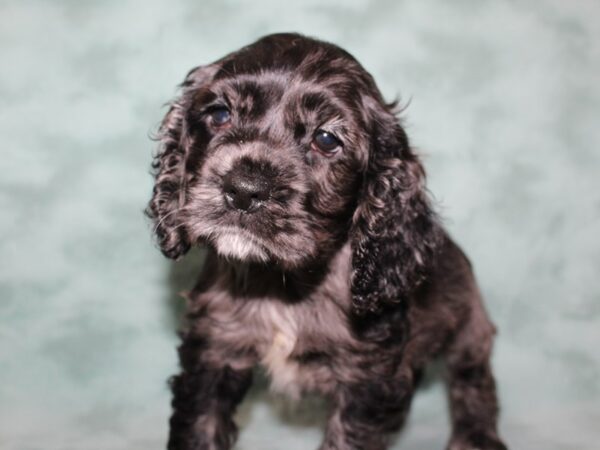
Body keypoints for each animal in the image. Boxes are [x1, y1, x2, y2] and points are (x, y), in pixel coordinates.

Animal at [146, 32, 506, 450]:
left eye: (326, 139)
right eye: (219, 115)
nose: (243, 190)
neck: (284, 285)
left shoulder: (366, 382)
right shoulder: (213, 350)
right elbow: (198, 427)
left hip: (469, 325)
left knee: (473, 381)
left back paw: (475, 437)